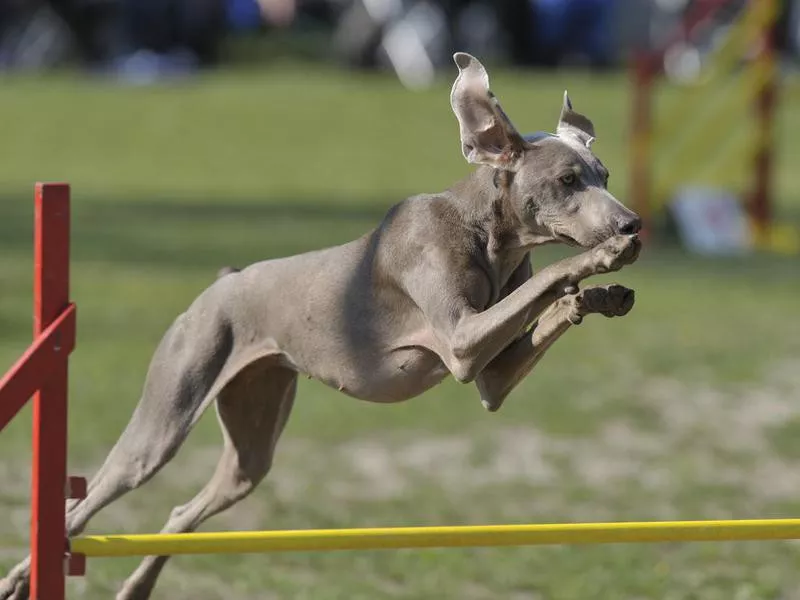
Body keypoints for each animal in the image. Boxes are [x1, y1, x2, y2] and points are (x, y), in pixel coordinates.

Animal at [0, 52, 640, 600]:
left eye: (605, 174)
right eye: (567, 180)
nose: (632, 224)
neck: (484, 231)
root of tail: (221, 283)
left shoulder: (491, 380)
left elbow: (528, 328)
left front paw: (599, 298)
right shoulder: (460, 343)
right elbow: (542, 281)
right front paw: (596, 262)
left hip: (251, 441)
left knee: (185, 509)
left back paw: (134, 586)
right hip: (164, 419)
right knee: (82, 504)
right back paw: (24, 574)